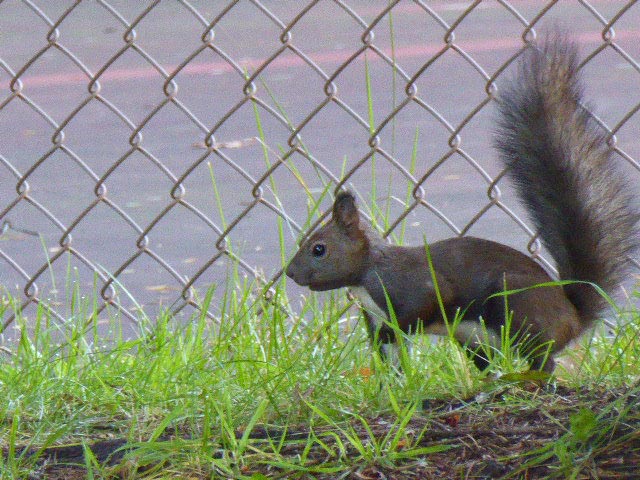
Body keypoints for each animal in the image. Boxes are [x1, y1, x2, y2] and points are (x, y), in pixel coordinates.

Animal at [286, 35, 640, 374]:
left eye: (319, 249)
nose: (290, 273)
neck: (365, 275)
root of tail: (573, 318)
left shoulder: (413, 286)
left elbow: (427, 304)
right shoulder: (374, 316)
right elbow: (391, 359)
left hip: (517, 308)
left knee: (544, 358)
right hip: (475, 338)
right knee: (492, 362)